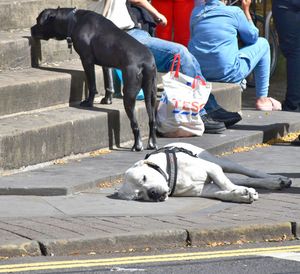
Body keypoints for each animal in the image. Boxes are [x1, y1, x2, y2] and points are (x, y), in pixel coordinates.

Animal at [31, 6, 158, 152]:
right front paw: (107, 99)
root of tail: (147, 62)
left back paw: (137, 145)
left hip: (129, 94)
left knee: (135, 123)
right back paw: (152, 143)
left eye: (38, 21)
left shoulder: (87, 60)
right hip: (152, 95)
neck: (73, 20)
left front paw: (89, 102)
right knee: (152, 120)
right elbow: (108, 81)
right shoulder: (105, 63)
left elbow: (92, 85)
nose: (31, 29)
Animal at [116, 142, 290, 202]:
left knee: (245, 171)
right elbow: (221, 191)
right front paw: (240, 194)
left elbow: (225, 183)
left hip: (215, 160)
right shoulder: (202, 189)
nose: (152, 194)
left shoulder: (211, 168)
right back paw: (273, 183)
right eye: (139, 195)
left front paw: (239, 191)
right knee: (242, 179)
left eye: (144, 178)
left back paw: (274, 179)